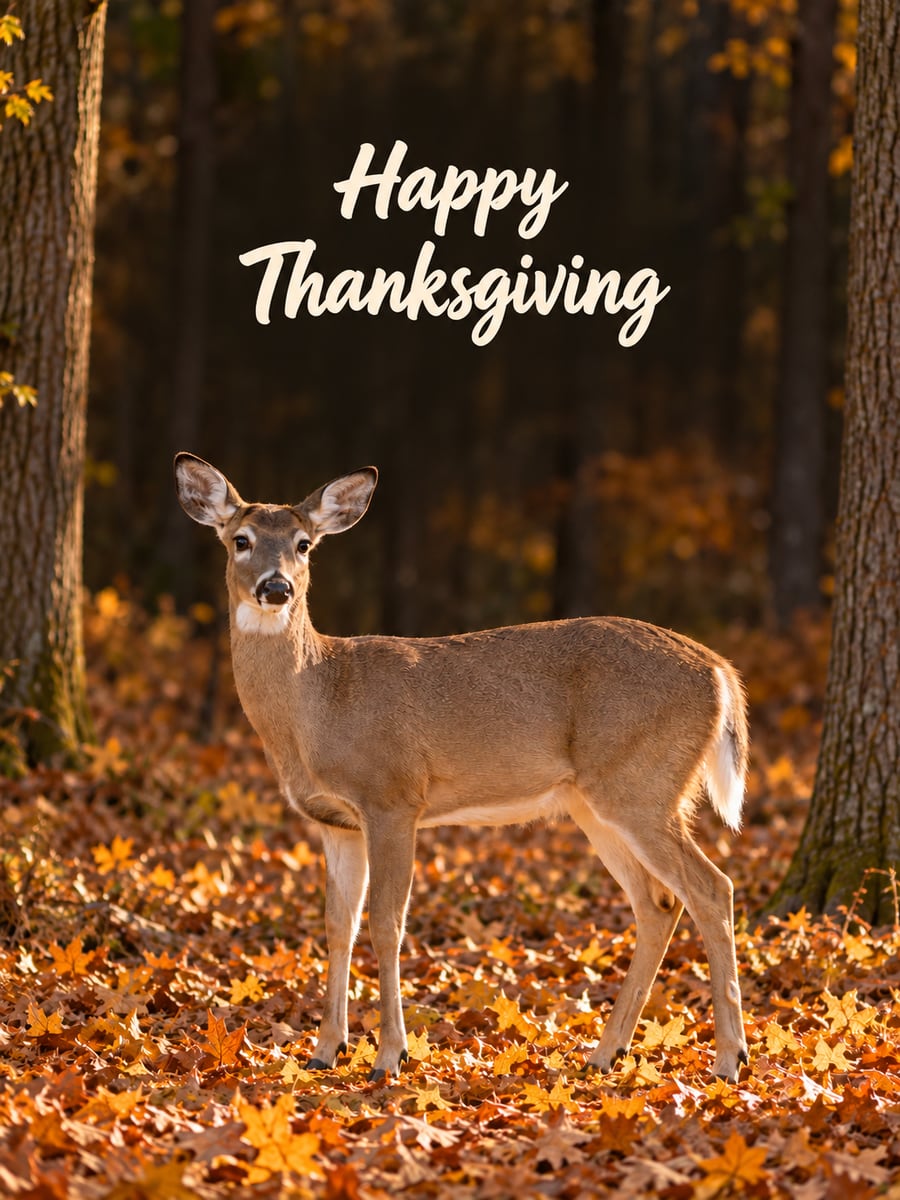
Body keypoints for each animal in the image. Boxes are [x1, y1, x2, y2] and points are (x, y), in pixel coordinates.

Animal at [174, 453, 750, 1082]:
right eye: (241, 540)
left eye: (304, 544)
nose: (275, 587)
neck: (318, 704)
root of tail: (720, 670)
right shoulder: (334, 821)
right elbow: (336, 925)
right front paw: (326, 1049)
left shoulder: (393, 797)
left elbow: (386, 923)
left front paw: (389, 1056)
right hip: (597, 802)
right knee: (658, 904)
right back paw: (607, 1051)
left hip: (642, 785)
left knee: (712, 888)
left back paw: (729, 1059)